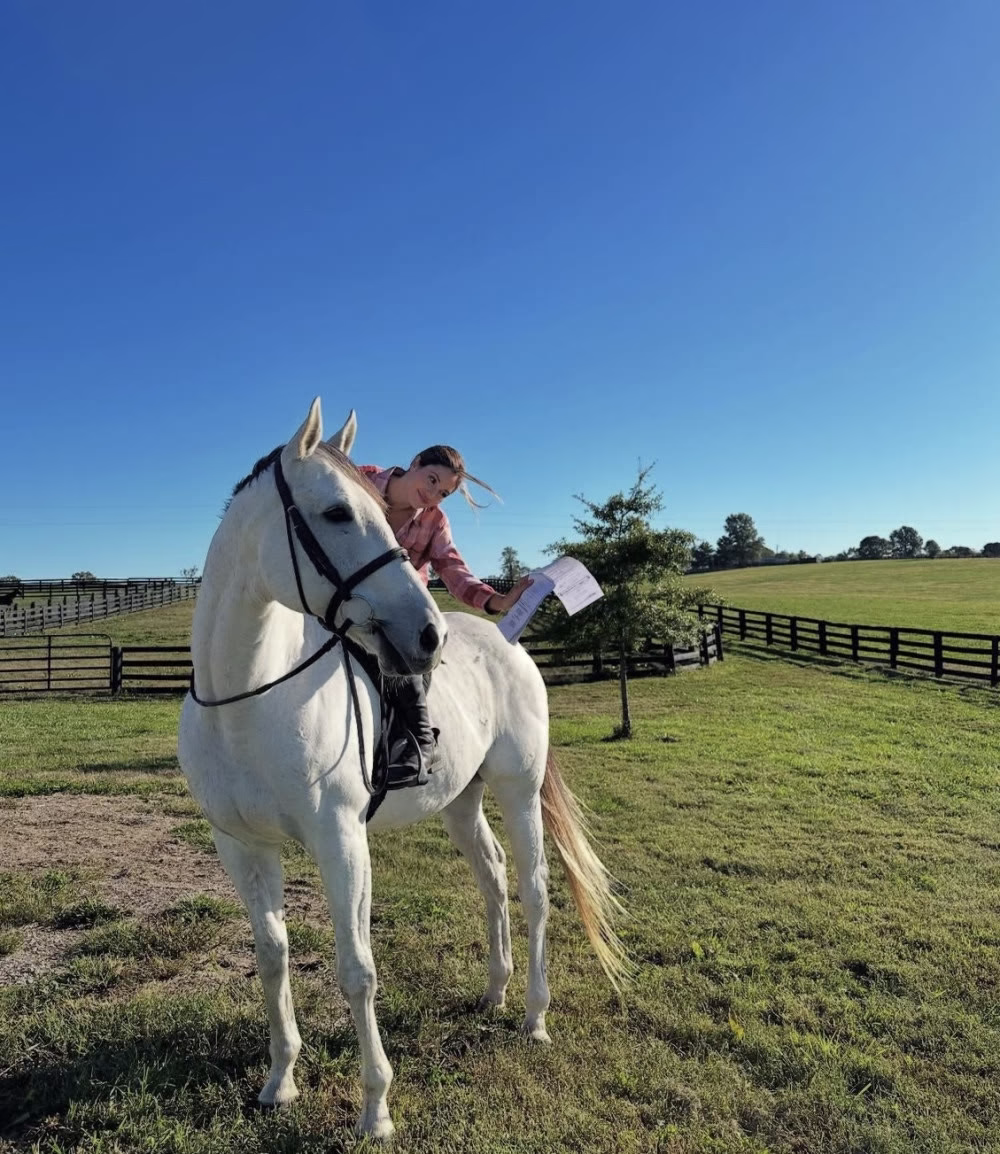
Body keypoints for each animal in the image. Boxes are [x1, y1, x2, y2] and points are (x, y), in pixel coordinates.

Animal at [177, 399, 628, 1140]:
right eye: (336, 512)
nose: (429, 636)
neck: (247, 698)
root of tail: (503, 640)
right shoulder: (241, 846)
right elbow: (270, 957)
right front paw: (280, 1082)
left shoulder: (340, 841)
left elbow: (357, 970)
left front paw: (375, 1108)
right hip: (460, 802)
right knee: (492, 877)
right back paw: (495, 991)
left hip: (518, 789)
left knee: (533, 887)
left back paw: (534, 1017)